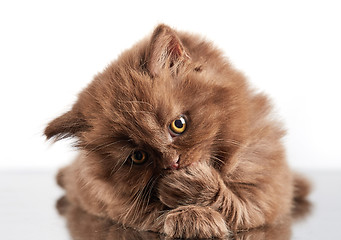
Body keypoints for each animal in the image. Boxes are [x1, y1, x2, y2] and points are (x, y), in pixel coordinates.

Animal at [44, 23, 308, 238]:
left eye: (178, 124)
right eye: (138, 156)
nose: (173, 163)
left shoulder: (267, 185)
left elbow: (241, 204)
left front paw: (191, 190)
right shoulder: (116, 205)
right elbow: (152, 214)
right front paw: (192, 218)